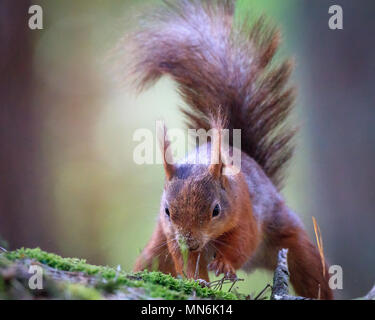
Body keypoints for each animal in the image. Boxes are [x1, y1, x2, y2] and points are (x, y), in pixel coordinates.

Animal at [131, 0, 334, 300]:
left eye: (216, 210)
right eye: (167, 211)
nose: (190, 241)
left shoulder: (245, 212)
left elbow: (243, 242)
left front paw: (225, 264)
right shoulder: (170, 234)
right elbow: (185, 260)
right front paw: (198, 280)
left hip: (292, 239)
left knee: (311, 270)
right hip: (155, 247)